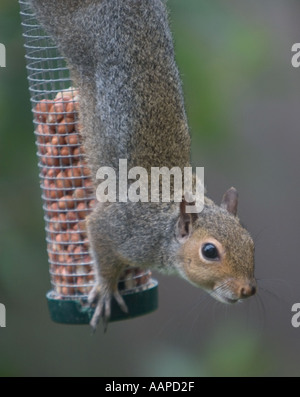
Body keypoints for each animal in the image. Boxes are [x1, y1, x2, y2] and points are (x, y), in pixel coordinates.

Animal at [29, 0, 255, 328]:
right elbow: (99, 237)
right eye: (210, 251)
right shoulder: (122, 227)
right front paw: (107, 290)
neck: (164, 227)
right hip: (66, 23)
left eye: (251, 242)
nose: (247, 289)